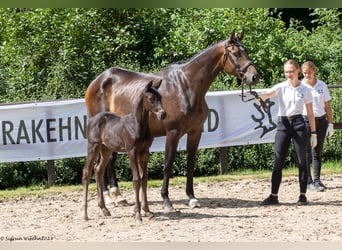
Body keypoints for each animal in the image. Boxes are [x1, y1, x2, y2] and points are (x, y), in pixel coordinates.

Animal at [81, 79, 164, 221]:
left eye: (160, 97)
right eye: (150, 98)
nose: (163, 114)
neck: (137, 125)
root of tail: (92, 119)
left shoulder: (145, 152)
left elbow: (144, 179)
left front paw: (147, 211)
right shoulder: (132, 151)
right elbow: (136, 180)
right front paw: (138, 214)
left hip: (106, 150)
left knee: (98, 170)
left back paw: (104, 209)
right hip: (93, 146)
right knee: (87, 171)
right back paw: (85, 214)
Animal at [85, 30, 260, 211]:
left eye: (246, 51)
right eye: (235, 53)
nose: (254, 76)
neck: (186, 86)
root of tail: (98, 81)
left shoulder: (195, 132)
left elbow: (190, 163)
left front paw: (192, 197)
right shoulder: (173, 133)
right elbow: (168, 164)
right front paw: (166, 200)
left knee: (107, 161)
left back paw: (116, 196)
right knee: (101, 163)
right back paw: (109, 198)